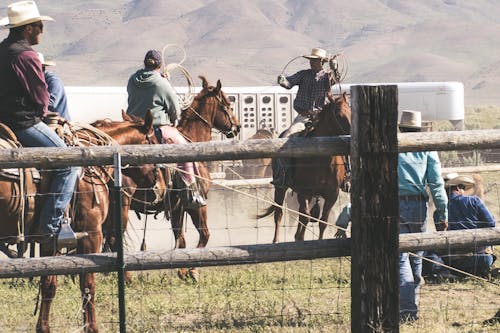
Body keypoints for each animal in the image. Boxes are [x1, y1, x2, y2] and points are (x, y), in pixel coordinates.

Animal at [258, 92, 352, 241]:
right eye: (338, 114)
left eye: (350, 110)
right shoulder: (304, 192)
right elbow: (305, 217)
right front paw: (300, 237)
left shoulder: (333, 194)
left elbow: (323, 221)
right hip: (280, 188)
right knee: (279, 213)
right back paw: (276, 240)